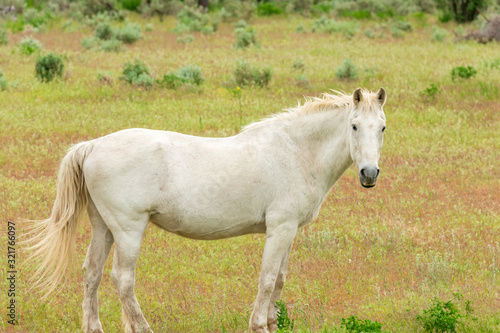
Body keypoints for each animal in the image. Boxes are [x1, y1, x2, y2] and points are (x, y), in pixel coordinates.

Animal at [26, 87, 386, 332]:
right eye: (354, 126)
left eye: (382, 127)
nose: (369, 174)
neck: (296, 151)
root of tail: (92, 146)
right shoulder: (280, 228)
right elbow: (268, 279)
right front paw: (258, 325)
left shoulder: (289, 230)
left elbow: (280, 280)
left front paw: (272, 323)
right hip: (128, 230)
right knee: (123, 279)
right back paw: (143, 327)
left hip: (103, 227)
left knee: (92, 274)